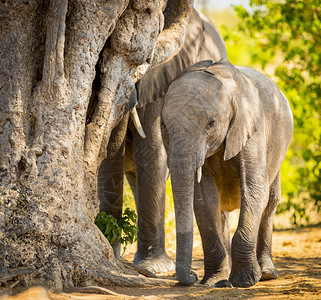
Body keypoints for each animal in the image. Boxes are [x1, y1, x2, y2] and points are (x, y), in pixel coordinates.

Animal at [162, 59, 292, 288]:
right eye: (163, 125)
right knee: (221, 210)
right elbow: (204, 200)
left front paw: (245, 281)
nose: (192, 276)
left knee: (270, 201)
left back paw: (267, 273)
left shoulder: (252, 129)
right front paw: (214, 281)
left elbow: (254, 190)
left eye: (211, 123)